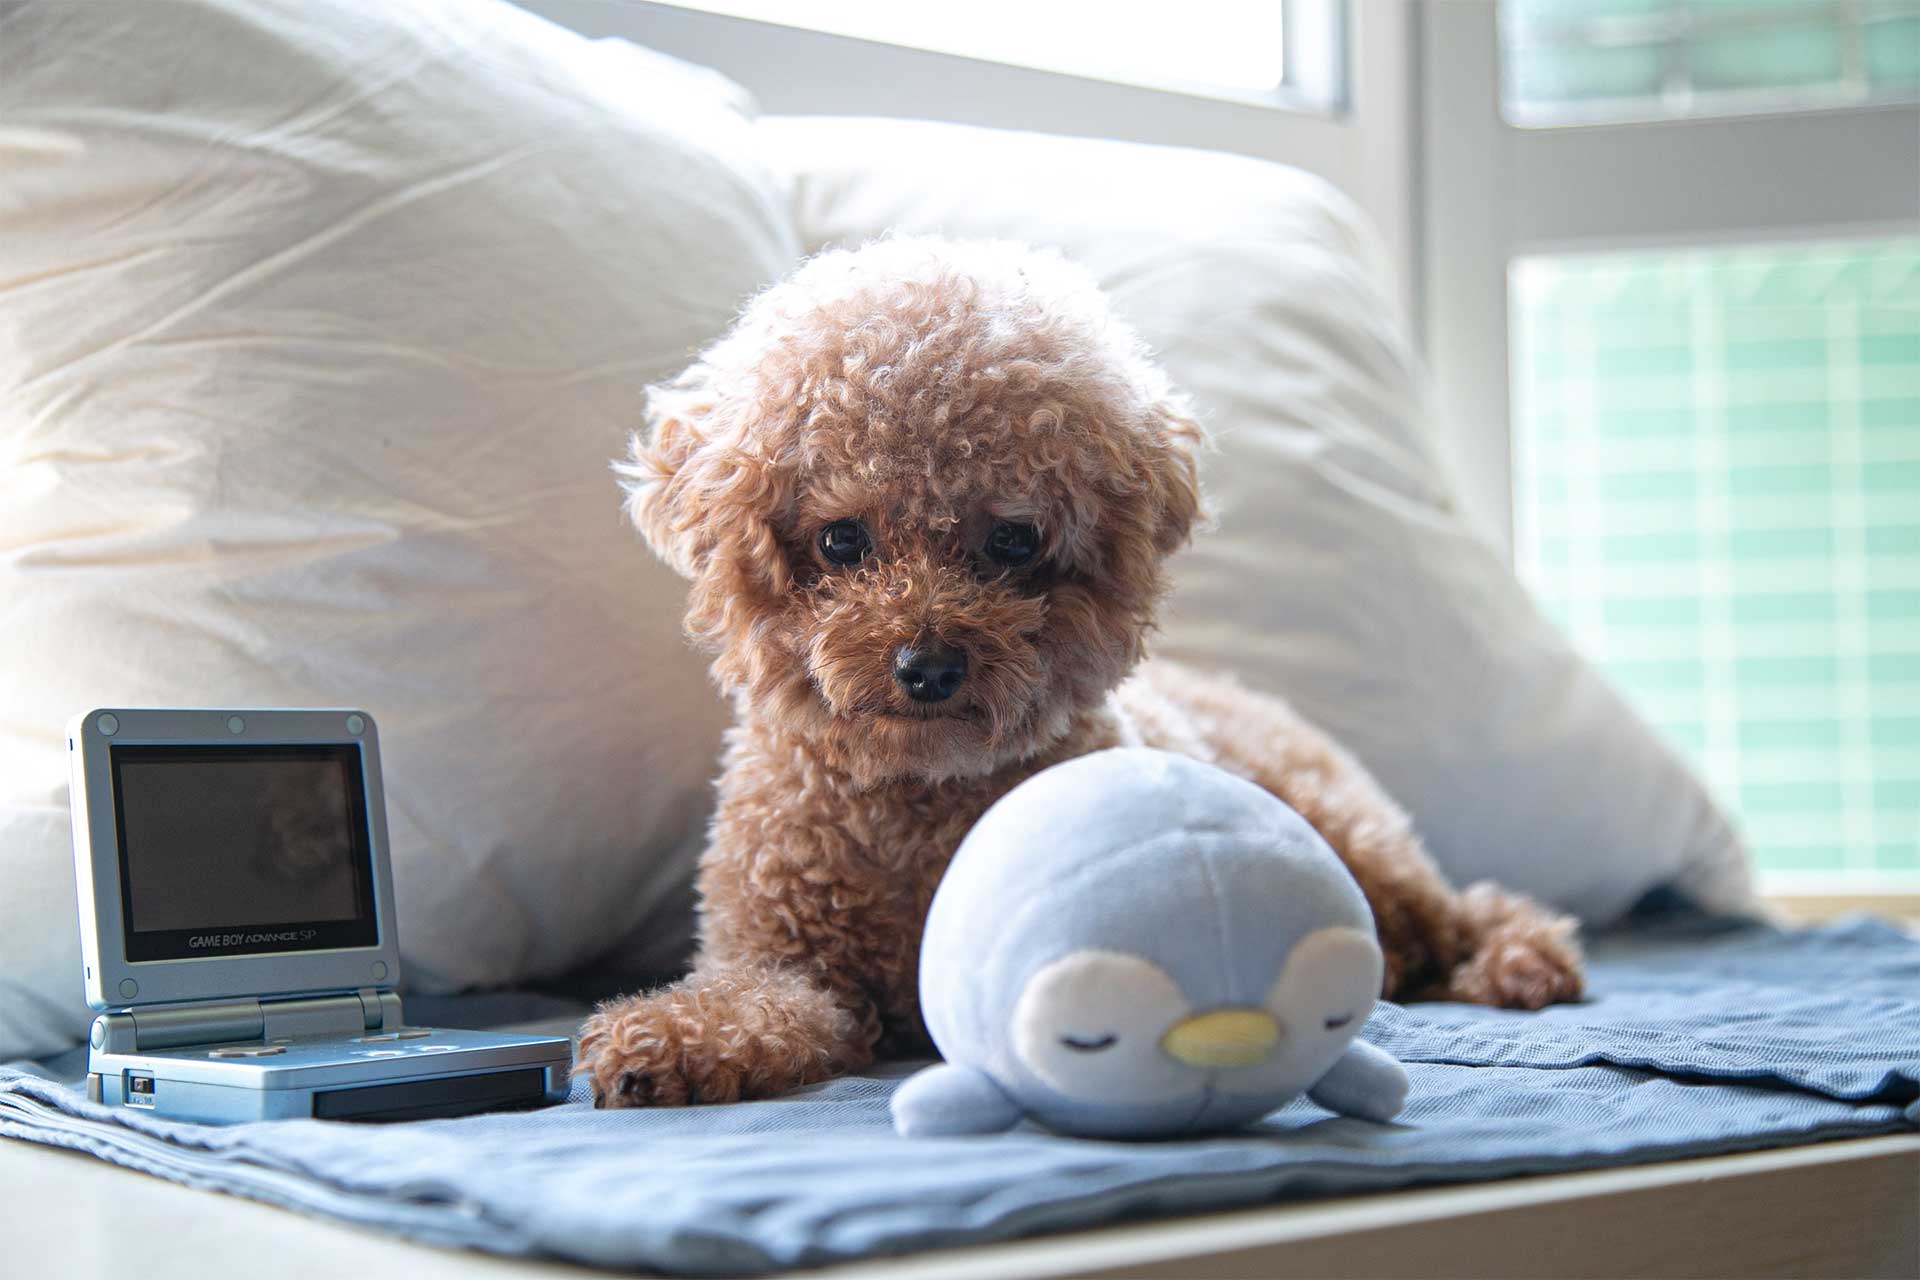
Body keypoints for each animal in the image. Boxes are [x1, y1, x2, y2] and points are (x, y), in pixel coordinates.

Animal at [576, 239, 1582, 1113]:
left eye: (1013, 541)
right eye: (841, 540)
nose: (927, 666)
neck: (916, 798)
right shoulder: (777, 958)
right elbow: (759, 1005)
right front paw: (665, 1039)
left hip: (1349, 831)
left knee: (1459, 908)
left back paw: (1517, 962)